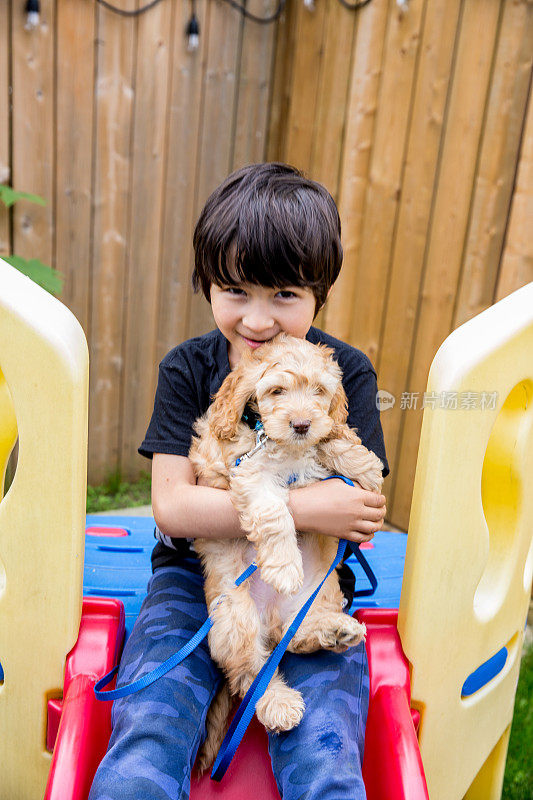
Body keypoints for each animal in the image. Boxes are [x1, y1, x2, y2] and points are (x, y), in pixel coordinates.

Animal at [190, 332, 382, 768]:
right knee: (251, 673)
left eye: (319, 392)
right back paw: (278, 703)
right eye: (277, 391)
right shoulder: (247, 471)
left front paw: (363, 465)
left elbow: (331, 441)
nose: (301, 424)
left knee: (293, 638)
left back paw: (334, 631)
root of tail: (273, 616)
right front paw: (283, 567)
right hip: (235, 617)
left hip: (320, 594)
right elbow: (274, 511)